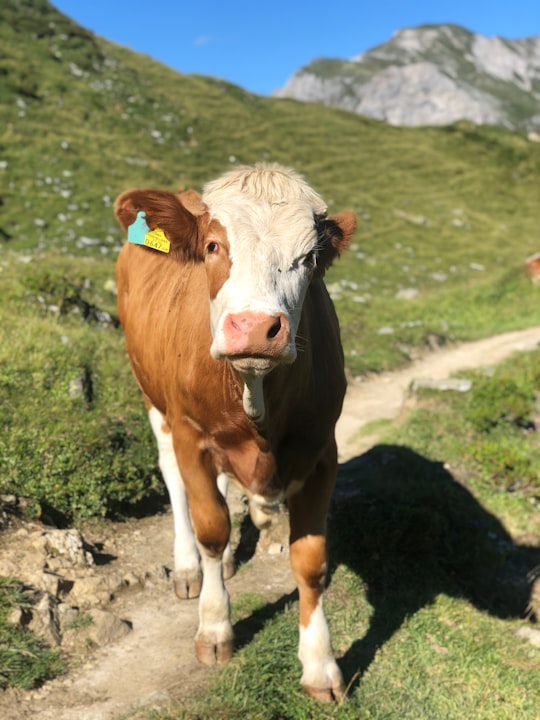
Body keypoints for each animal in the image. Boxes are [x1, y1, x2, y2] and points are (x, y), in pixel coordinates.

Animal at [114, 163, 356, 704]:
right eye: (212, 246)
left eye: (309, 258)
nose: (254, 327)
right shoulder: (191, 434)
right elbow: (211, 527)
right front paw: (214, 628)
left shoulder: (321, 450)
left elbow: (310, 560)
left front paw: (320, 665)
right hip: (153, 398)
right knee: (174, 477)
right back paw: (189, 569)